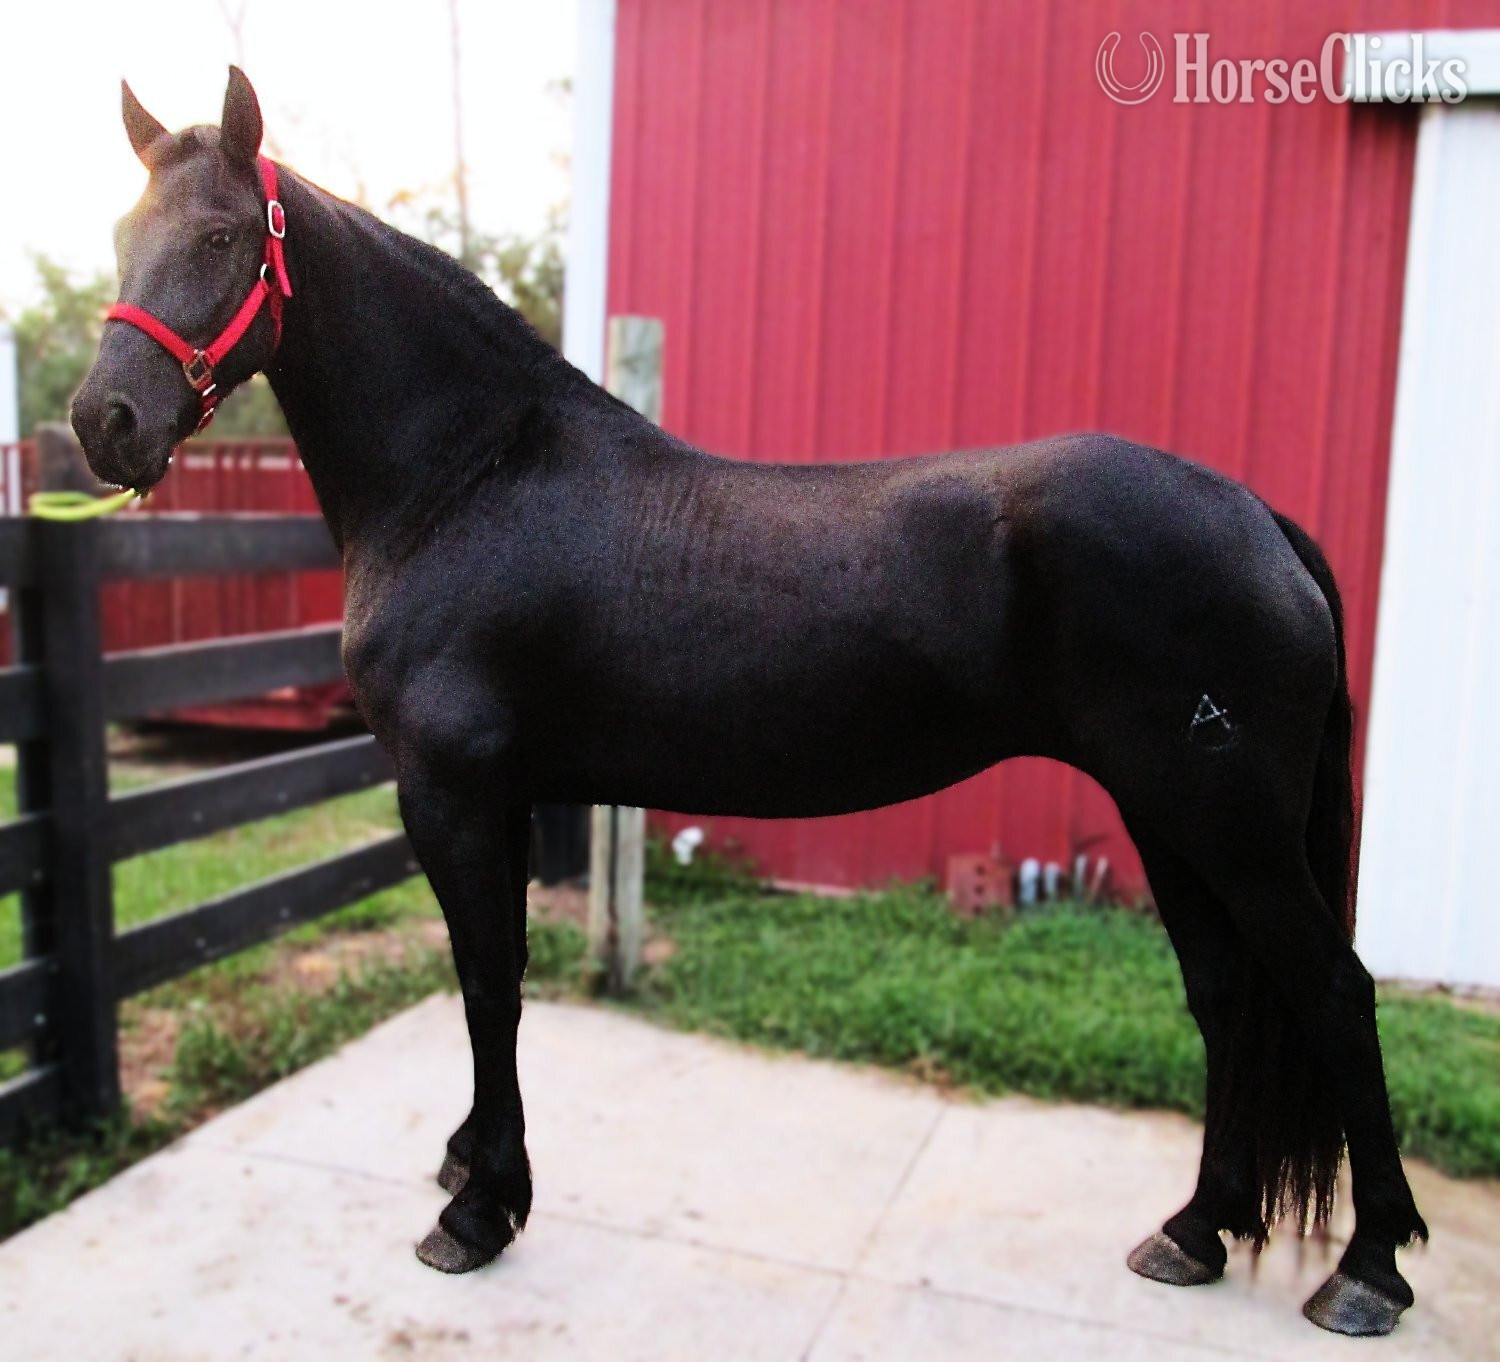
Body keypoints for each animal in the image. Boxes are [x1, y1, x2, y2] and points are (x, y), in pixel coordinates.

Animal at [70, 68, 1427, 1338]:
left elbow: (489, 984)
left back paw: (1365, 1271)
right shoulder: (498, 797)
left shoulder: (452, 790)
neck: (469, 477)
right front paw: (471, 1166)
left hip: (1230, 825)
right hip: (1170, 817)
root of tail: (1256, 516)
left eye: (222, 237)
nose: (105, 421)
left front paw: (479, 1210)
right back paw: (1197, 1230)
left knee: (1332, 990)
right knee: (1231, 996)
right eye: (122, 230)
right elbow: (497, 978)